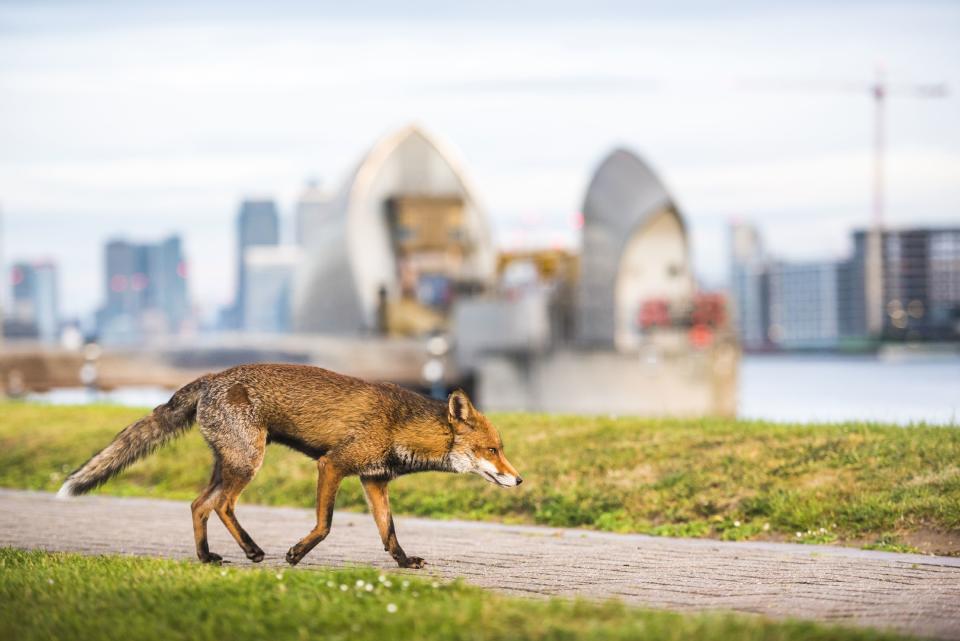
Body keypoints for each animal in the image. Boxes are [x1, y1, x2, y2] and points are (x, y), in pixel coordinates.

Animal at [58, 362, 524, 568]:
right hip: (248, 464)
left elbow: (389, 532)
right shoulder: (333, 465)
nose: (519, 479)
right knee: (221, 505)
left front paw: (404, 562)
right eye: (492, 450)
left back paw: (207, 557)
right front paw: (296, 553)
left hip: (229, 464)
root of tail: (211, 377)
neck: (399, 426)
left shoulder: (374, 480)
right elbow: (326, 524)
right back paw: (251, 550)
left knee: (198, 504)